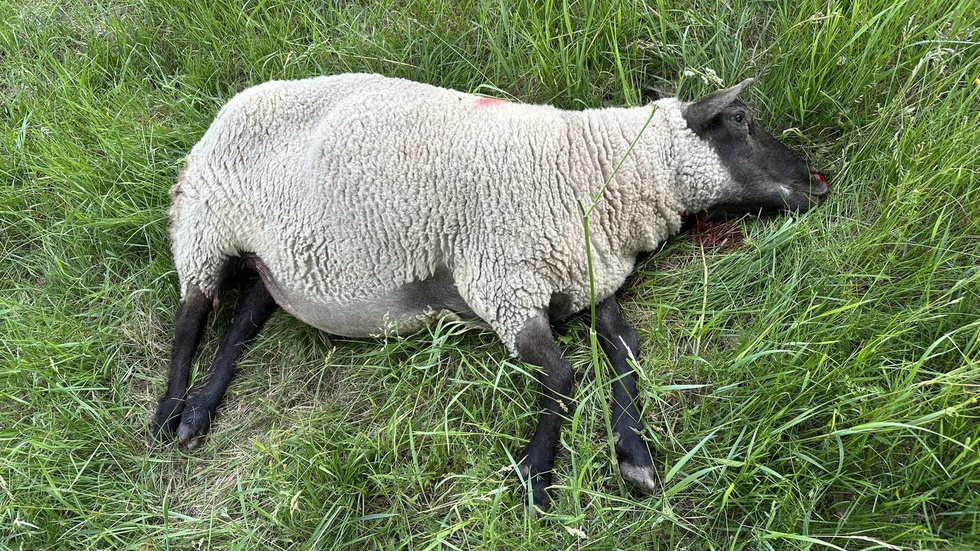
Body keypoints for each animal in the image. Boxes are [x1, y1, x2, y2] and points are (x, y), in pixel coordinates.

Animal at [153, 72, 828, 508]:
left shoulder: (586, 276)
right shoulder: (503, 283)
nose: (818, 180)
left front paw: (633, 455)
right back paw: (168, 415)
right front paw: (536, 479)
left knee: (242, 322)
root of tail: (230, 106)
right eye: (740, 121)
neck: (596, 169)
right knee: (192, 317)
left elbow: (624, 349)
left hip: (281, 261)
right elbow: (562, 373)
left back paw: (200, 412)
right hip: (204, 225)